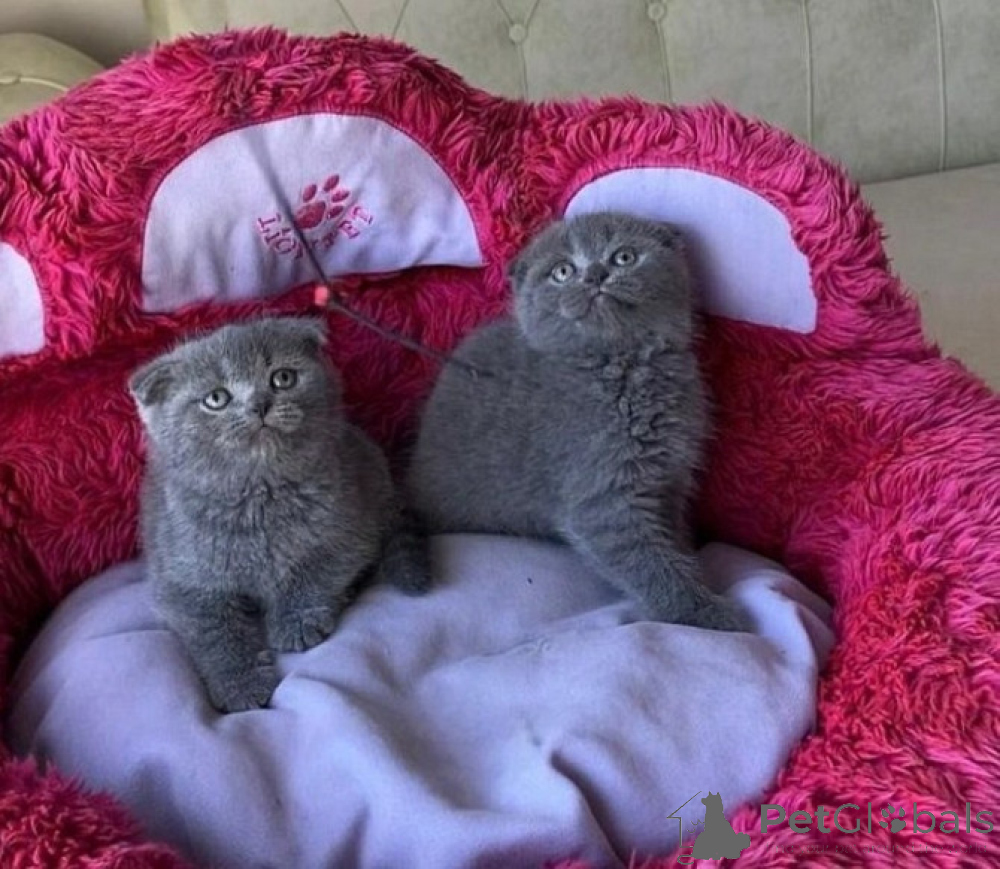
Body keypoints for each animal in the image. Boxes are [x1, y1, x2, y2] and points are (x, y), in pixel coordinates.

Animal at [129, 317, 430, 713]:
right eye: (216, 398)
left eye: (282, 378)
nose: (260, 404)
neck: (260, 497)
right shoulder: (180, 576)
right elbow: (212, 630)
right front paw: (240, 684)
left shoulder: (350, 526)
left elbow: (316, 570)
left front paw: (295, 621)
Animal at [408, 211, 748, 632]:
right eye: (563, 271)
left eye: (624, 257)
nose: (596, 274)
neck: (622, 368)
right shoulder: (601, 495)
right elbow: (647, 562)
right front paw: (709, 614)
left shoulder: (668, 480)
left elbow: (671, 539)